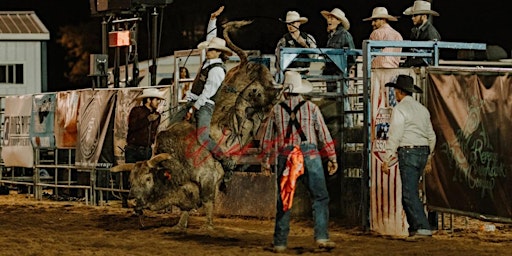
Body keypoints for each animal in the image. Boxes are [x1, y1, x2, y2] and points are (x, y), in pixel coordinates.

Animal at [109, 21, 282, 231]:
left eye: (148, 178)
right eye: (130, 179)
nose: (133, 201)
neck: (177, 162)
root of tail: (243, 64)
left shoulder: (208, 179)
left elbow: (208, 202)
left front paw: (208, 225)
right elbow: (187, 206)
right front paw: (180, 224)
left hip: (262, 92)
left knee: (271, 96)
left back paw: (282, 90)